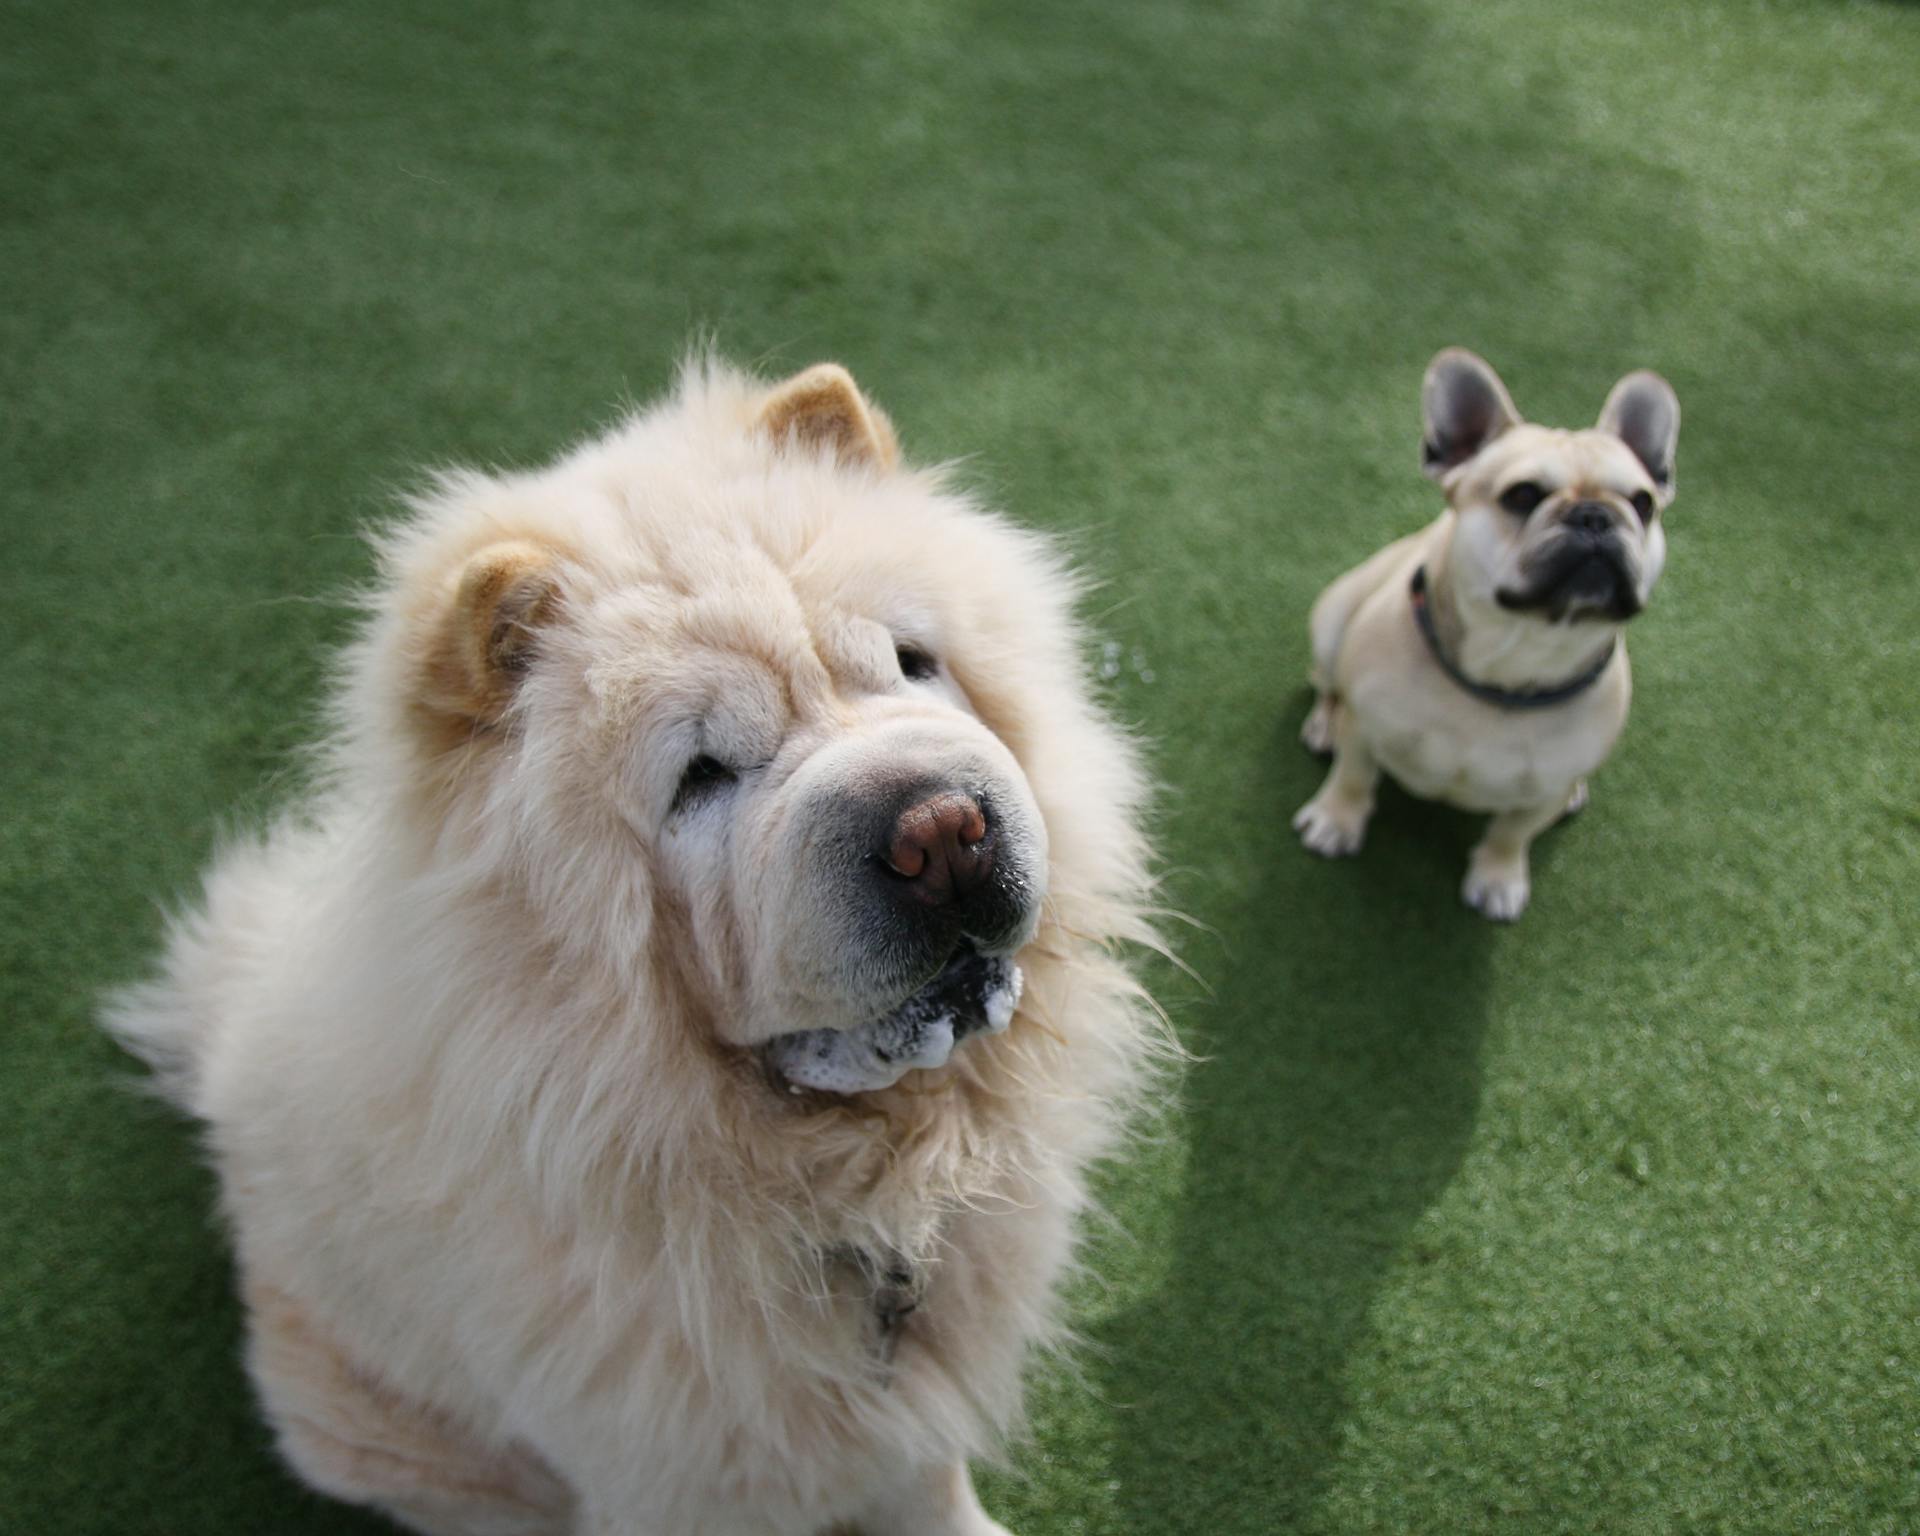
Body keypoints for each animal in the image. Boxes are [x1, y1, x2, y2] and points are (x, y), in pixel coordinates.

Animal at [1290, 351, 1681, 913]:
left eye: (1643, 503)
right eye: (1522, 495)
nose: (1595, 517)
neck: (1512, 661)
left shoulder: (1541, 793)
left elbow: (1512, 833)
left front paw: (1498, 879)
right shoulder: (1365, 729)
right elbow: (1353, 775)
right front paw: (1334, 821)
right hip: (1332, 619)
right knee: (1327, 685)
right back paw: (1323, 724)